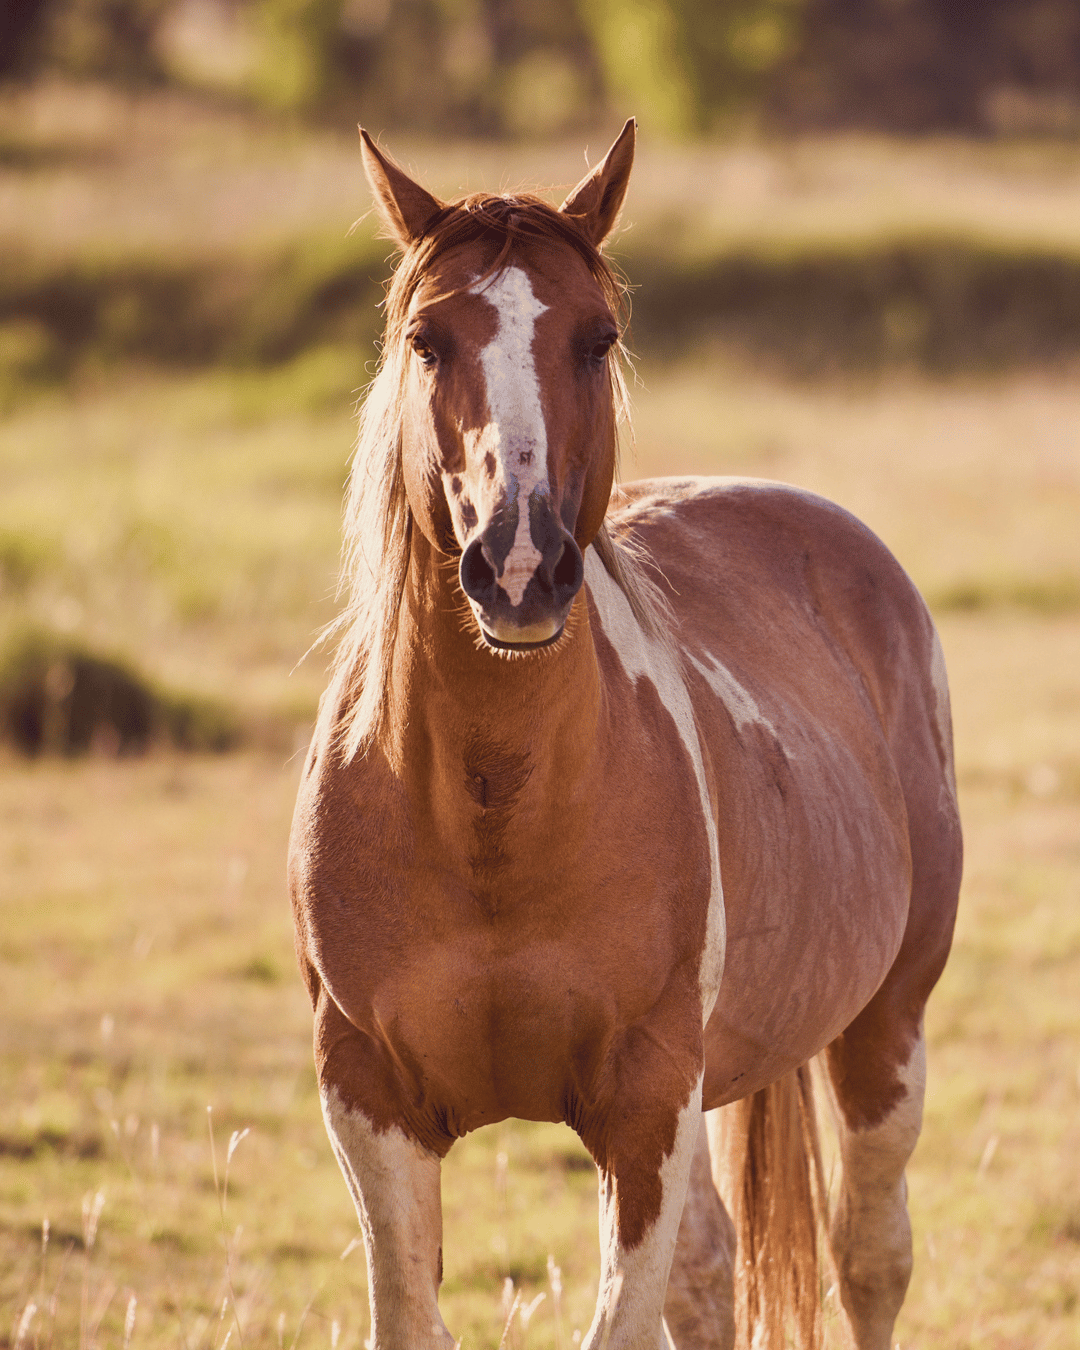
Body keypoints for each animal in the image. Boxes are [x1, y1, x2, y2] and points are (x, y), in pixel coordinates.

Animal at [288, 119, 962, 1350]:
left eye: (597, 341)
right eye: (425, 340)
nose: (517, 566)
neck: (492, 814)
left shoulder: (647, 1102)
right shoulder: (368, 1100)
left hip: (885, 1032)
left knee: (870, 1258)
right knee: (711, 1274)